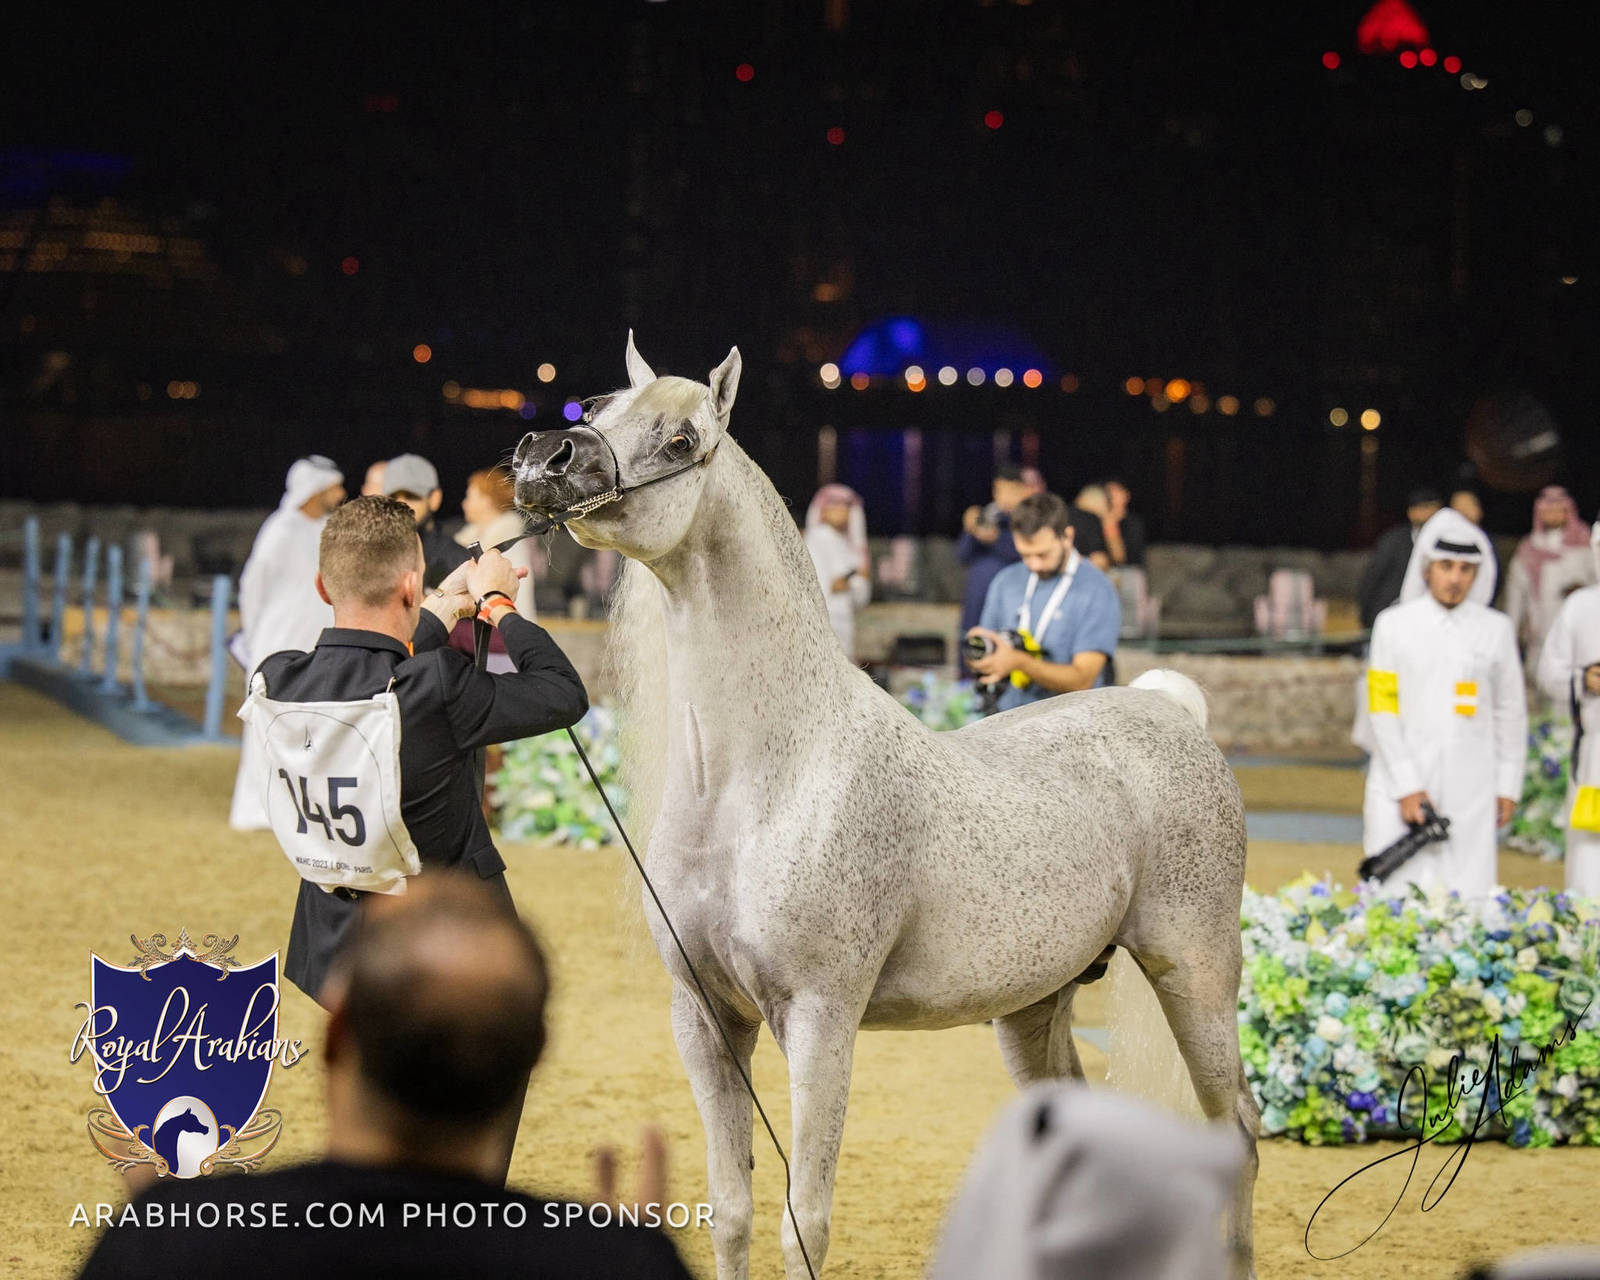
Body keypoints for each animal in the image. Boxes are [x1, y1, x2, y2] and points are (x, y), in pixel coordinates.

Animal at [511, 335, 1259, 1280]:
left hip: (1194, 974)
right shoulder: (706, 1020)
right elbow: (730, 1211)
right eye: (598, 408)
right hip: (1036, 1004)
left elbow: (804, 1218)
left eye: (682, 438)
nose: (544, 456)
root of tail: (1171, 709)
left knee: (1236, 1129)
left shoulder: (821, 1019)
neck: (762, 780)